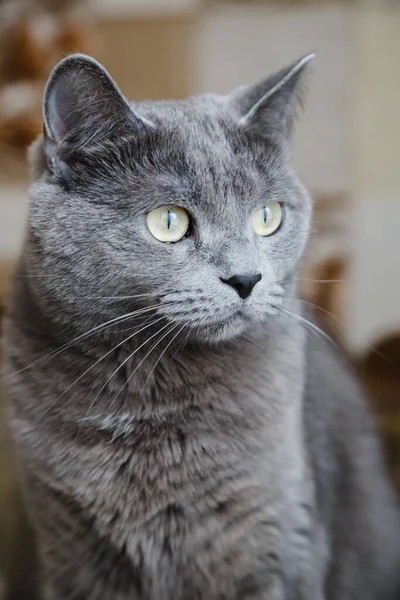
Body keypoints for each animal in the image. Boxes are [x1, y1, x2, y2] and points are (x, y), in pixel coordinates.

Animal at [3, 52, 400, 600]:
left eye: (268, 216)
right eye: (168, 222)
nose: (247, 277)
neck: (152, 398)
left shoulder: (272, 539)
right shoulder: (67, 545)